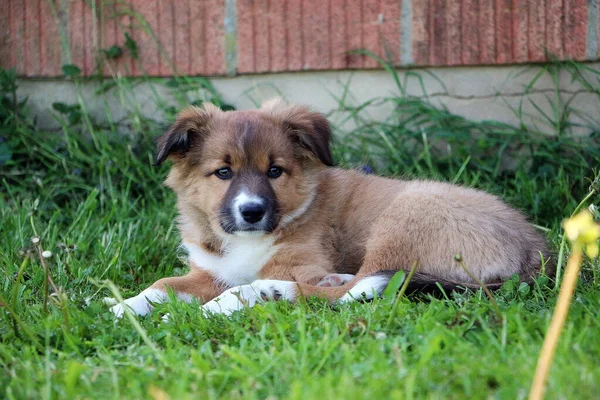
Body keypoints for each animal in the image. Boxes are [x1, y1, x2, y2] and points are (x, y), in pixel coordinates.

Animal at [108, 98, 548, 318]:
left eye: (275, 171)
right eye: (222, 172)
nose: (251, 212)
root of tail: (535, 250)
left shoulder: (301, 264)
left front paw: (226, 299)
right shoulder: (210, 272)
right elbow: (162, 284)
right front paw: (123, 306)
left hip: (401, 221)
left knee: (354, 290)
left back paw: (252, 296)